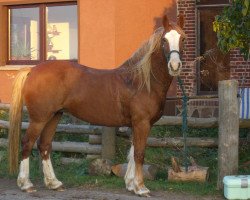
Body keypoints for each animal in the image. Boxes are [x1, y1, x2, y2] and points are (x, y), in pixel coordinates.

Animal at [7, 14, 186, 197]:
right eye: (164, 40)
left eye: (182, 38)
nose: (175, 66)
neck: (140, 82)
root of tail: (32, 70)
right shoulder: (142, 123)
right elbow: (139, 154)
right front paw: (141, 187)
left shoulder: (136, 124)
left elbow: (132, 153)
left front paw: (130, 184)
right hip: (39, 118)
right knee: (27, 143)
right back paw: (26, 184)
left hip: (54, 116)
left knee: (44, 145)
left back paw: (54, 183)